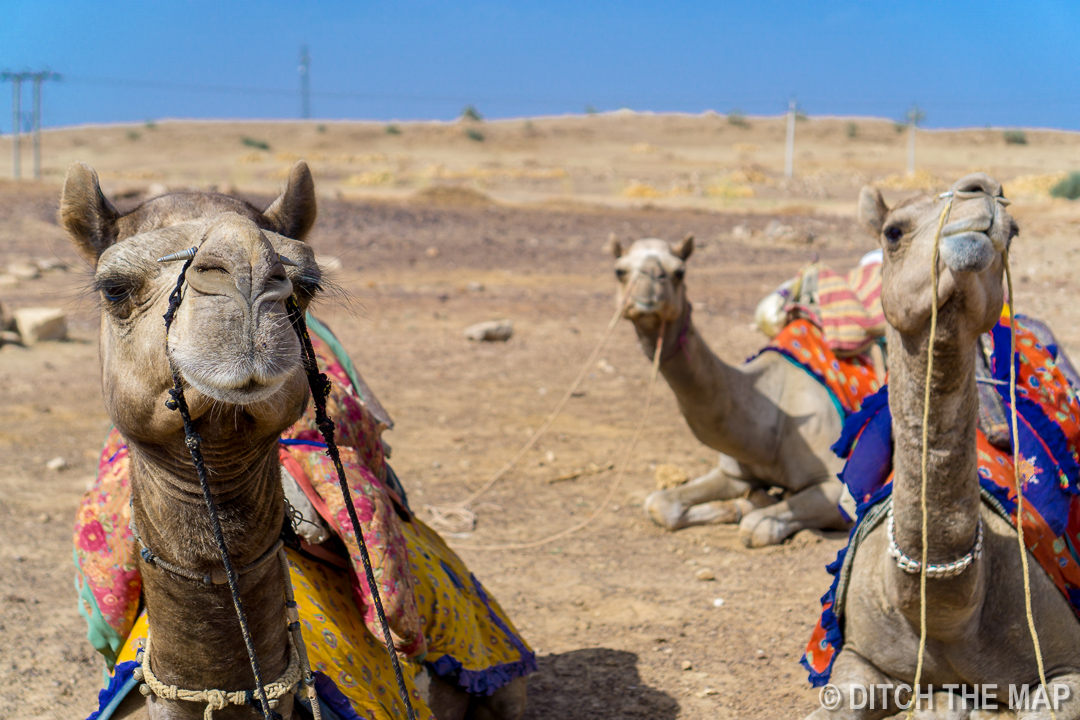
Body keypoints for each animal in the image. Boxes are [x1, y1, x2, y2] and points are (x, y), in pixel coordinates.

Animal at [613, 235, 846, 546]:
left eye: (679, 272)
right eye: (620, 271)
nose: (648, 288)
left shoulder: (839, 486)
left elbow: (756, 527)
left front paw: (755, 506)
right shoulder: (734, 471)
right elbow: (658, 504)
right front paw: (746, 503)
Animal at [807, 172, 1080, 716]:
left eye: (1014, 232)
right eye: (893, 231)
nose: (981, 189)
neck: (946, 614)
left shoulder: (1066, 662)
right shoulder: (857, 656)